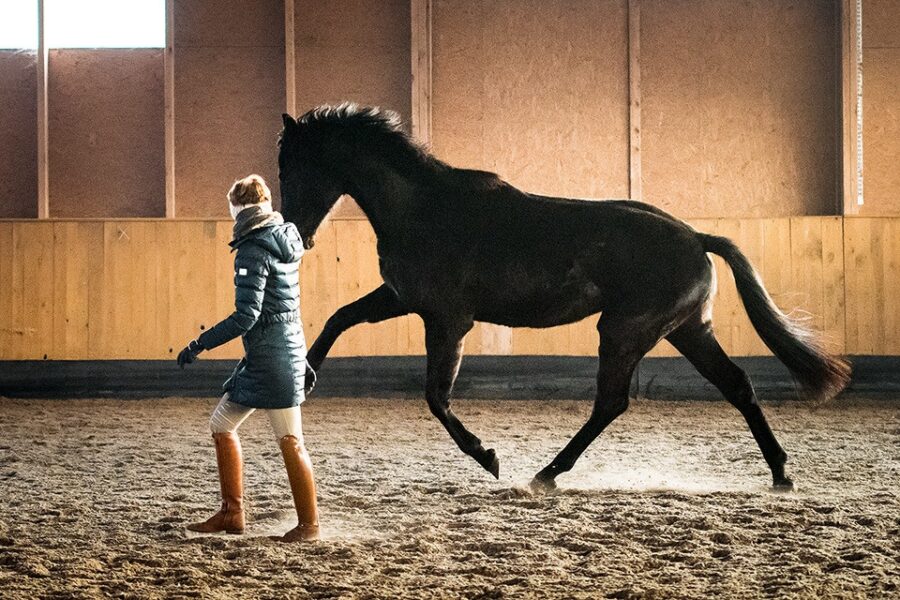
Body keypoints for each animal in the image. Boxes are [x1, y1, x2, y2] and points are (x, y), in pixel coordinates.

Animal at [277, 103, 850, 492]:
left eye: (291, 167)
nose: (297, 233)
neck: (424, 207)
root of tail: (695, 238)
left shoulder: (446, 319)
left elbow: (436, 397)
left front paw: (487, 457)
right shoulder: (402, 298)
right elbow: (339, 318)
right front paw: (305, 376)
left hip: (624, 331)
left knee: (612, 401)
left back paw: (546, 473)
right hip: (688, 330)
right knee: (736, 384)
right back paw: (780, 473)